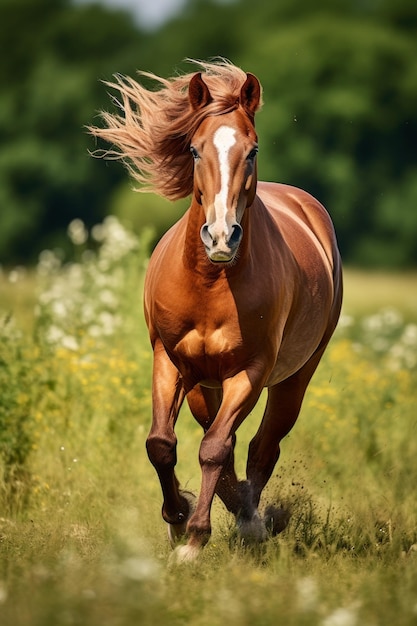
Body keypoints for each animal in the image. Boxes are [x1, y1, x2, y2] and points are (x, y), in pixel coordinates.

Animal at [90, 58, 342, 560]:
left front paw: (195, 539)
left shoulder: (251, 371)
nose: (222, 237)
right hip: (203, 386)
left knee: (261, 447)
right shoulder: (169, 361)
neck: (208, 283)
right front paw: (177, 518)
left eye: (253, 150)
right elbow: (162, 445)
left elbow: (215, 450)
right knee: (222, 443)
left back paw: (252, 520)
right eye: (192, 149)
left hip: (294, 378)